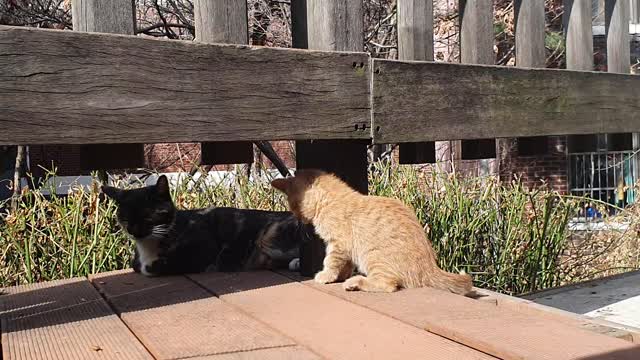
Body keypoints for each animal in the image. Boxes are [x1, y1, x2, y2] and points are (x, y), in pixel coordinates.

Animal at [100, 176, 310, 278]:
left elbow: (153, 267)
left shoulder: (204, 249)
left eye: (148, 215)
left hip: (267, 237)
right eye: (125, 218)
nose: (134, 231)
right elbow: (137, 266)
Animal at [268, 169, 470, 296]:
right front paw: (340, 276)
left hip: (373, 257)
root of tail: (430, 268)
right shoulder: (346, 250)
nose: (298, 218)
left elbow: (331, 262)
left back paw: (355, 282)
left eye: (293, 206)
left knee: (388, 285)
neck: (331, 201)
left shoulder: (338, 244)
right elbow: (345, 265)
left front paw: (326, 276)